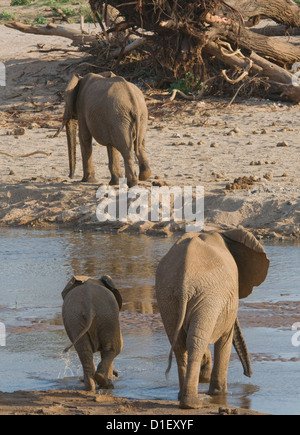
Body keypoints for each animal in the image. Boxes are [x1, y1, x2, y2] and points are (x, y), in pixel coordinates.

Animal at [156, 227, 270, 410]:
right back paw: (193, 403)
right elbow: (225, 338)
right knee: (195, 342)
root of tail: (183, 284)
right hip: (207, 296)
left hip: (167, 297)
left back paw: (184, 399)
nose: (248, 375)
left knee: (182, 343)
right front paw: (219, 394)